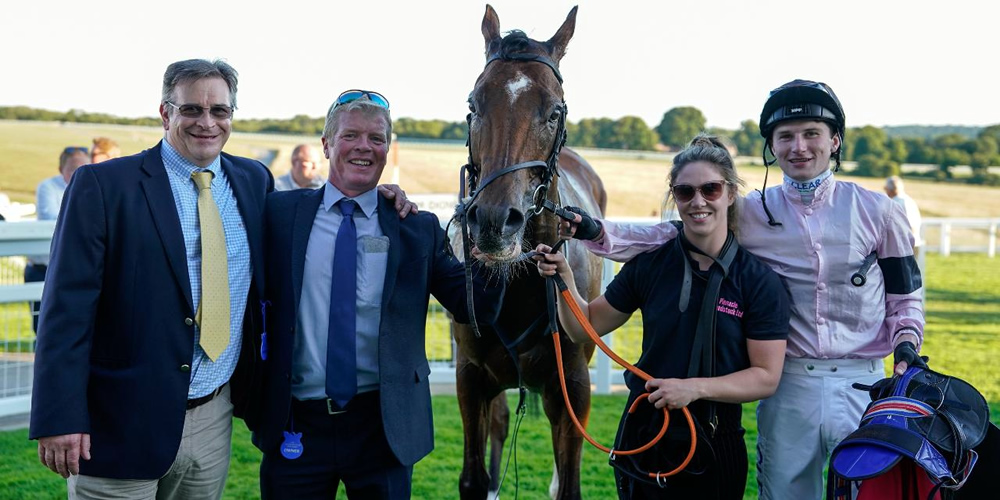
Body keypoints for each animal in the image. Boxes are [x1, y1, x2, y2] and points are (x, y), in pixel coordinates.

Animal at [451, 5, 607, 499]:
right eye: (473, 105)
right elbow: (473, 477)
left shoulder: (572, 384)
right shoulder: (471, 377)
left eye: (554, 111)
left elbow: (569, 484)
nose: (494, 222)